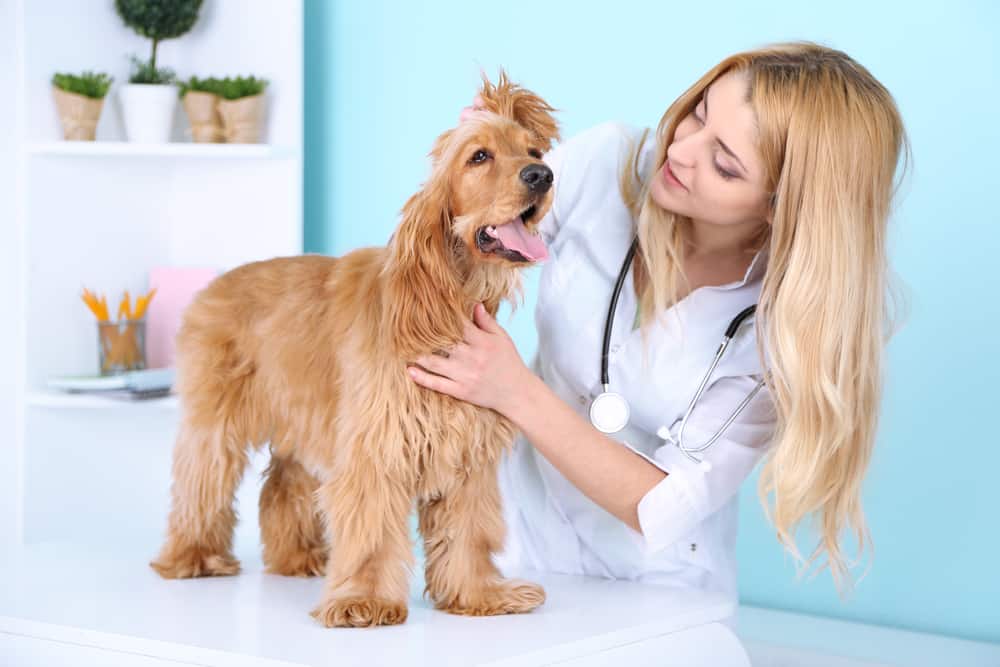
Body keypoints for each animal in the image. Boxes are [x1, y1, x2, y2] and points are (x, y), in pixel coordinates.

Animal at [148, 74, 560, 632]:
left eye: (533, 151)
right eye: (479, 156)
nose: (543, 175)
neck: (444, 299)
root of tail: (211, 287)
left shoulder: (464, 451)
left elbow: (469, 531)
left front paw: (479, 594)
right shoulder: (376, 443)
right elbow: (371, 529)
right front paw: (363, 600)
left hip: (302, 414)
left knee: (283, 482)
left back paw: (298, 556)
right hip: (216, 418)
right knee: (201, 481)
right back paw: (193, 556)